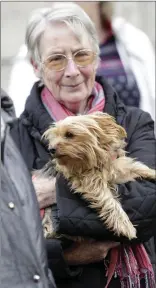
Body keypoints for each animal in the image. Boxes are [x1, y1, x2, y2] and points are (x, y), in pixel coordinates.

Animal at [40, 112, 155, 241]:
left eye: (69, 134)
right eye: (54, 137)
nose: (51, 149)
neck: (96, 162)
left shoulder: (118, 167)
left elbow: (136, 167)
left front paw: (152, 173)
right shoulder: (89, 181)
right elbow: (108, 200)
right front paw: (124, 224)